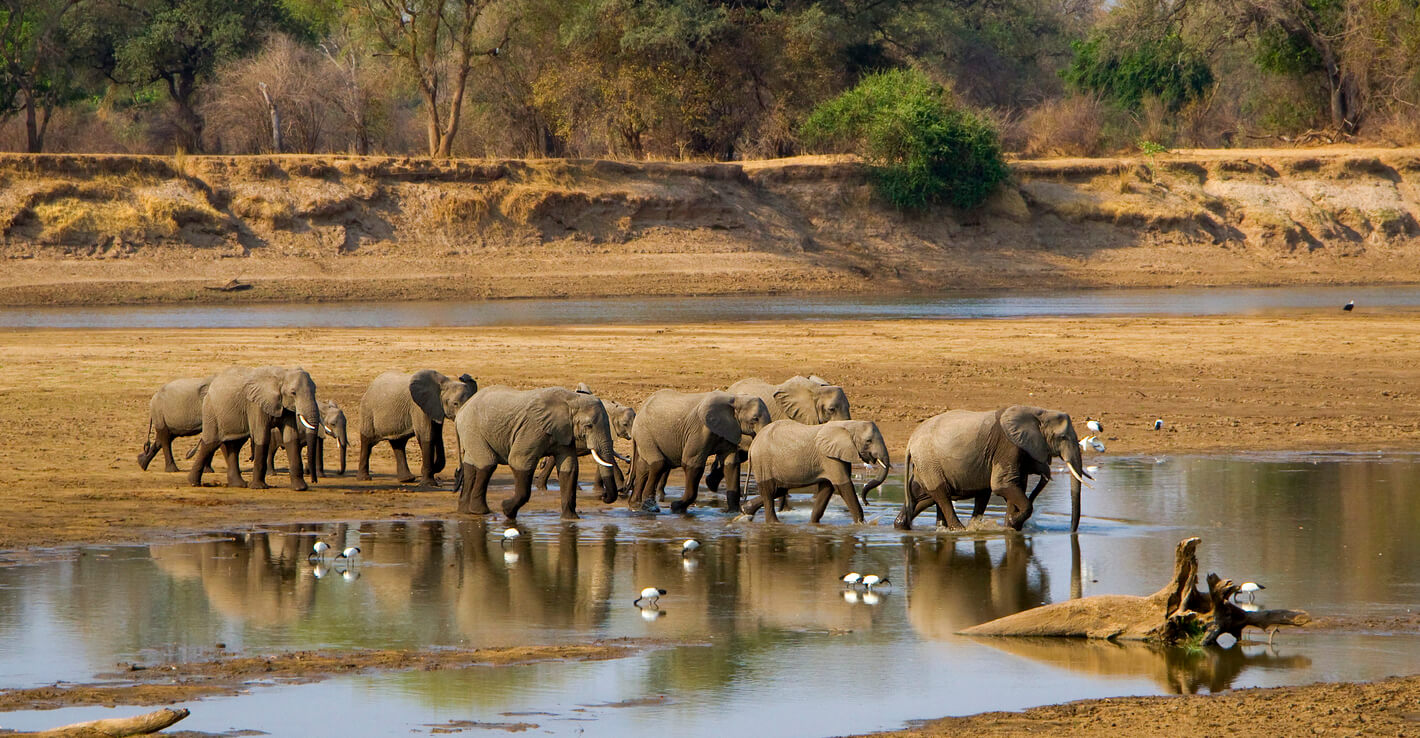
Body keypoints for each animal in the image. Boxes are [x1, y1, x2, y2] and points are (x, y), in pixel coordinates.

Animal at [187, 366, 320, 493]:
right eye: (293, 393)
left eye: (315, 391)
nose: (314, 481)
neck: (282, 374)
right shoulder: (256, 406)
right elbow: (262, 437)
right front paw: (258, 487)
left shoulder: (287, 407)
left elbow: (291, 437)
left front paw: (300, 488)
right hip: (211, 411)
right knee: (211, 443)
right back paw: (193, 483)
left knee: (234, 446)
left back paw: (239, 485)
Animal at [454, 386, 621, 519]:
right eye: (589, 426)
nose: (603, 496)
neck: (571, 399)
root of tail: (461, 410)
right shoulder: (533, 428)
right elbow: (518, 461)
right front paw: (506, 509)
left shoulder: (564, 432)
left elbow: (569, 468)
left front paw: (571, 519)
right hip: (472, 428)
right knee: (487, 463)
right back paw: (481, 512)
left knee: (472, 464)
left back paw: (465, 511)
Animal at [630, 391, 772, 513]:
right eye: (755, 419)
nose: (745, 499)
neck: (736, 399)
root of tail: (641, 407)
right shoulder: (700, 430)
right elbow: (692, 463)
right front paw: (676, 507)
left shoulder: (729, 429)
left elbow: (731, 464)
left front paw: (732, 512)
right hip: (644, 432)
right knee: (659, 464)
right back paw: (649, 508)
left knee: (644, 466)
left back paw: (635, 503)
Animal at [744, 420, 886, 525]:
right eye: (868, 441)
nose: (867, 503)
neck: (849, 424)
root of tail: (753, 444)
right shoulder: (828, 457)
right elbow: (843, 485)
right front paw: (861, 525)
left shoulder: (836, 455)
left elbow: (827, 488)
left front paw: (813, 524)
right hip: (762, 462)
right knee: (768, 490)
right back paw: (774, 523)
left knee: (779, 489)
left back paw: (746, 510)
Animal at [891, 405, 1090, 533]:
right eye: (1063, 437)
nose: (1072, 532)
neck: (1037, 412)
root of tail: (910, 442)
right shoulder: (1008, 446)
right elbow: (1002, 486)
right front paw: (1012, 523)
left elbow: (1015, 486)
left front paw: (1010, 527)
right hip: (928, 461)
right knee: (940, 494)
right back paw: (960, 530)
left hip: (926, 464)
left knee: (925, 495)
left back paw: (904, 525)